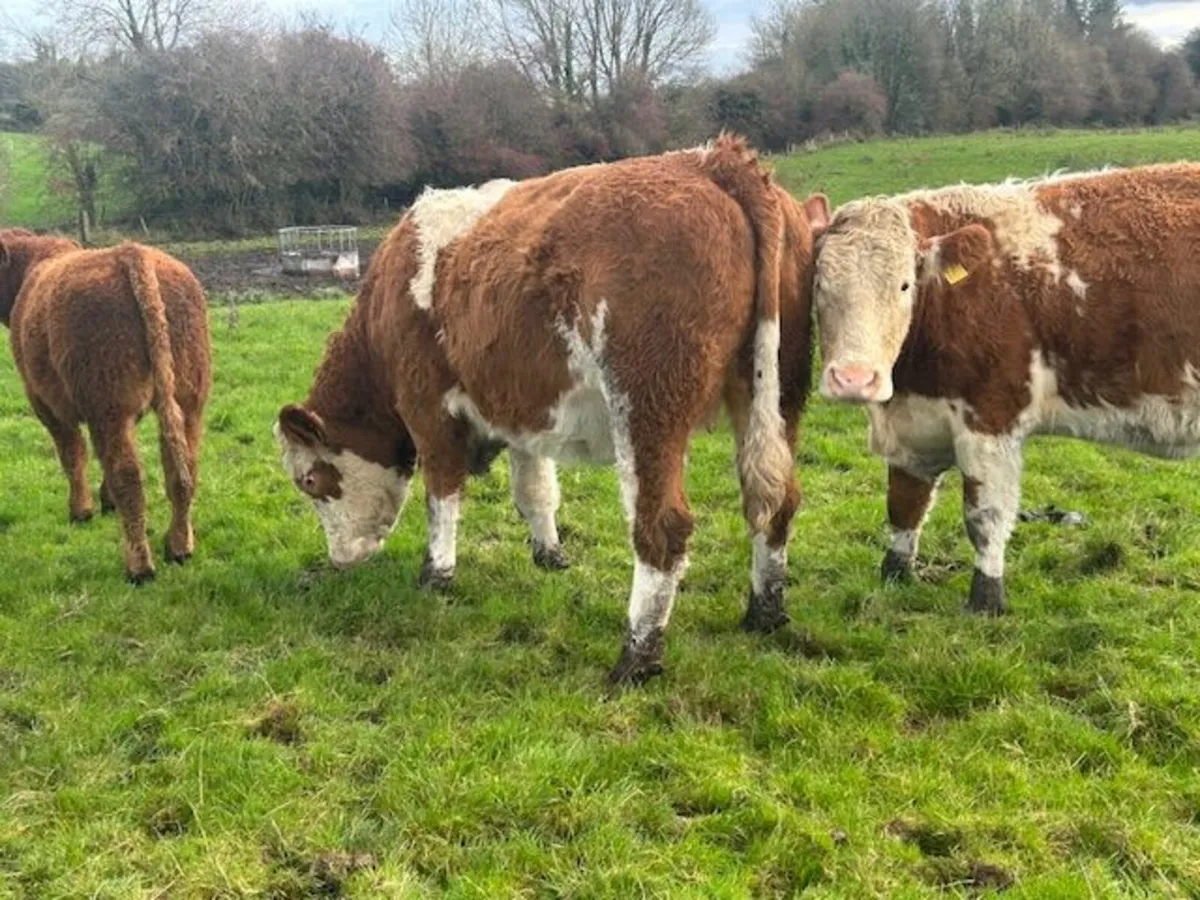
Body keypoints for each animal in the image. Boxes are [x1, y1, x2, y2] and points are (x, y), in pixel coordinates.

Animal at [0, 230, 212, 583]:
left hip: (109, 407)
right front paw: (105, 501)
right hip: (188, 401)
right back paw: (179, 546)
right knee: (182, 470)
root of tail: (131, 253)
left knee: (128, 478)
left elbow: (73, 456)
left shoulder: (47, 404)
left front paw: (81, 510)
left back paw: (139, 566)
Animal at [275, 135, 830, 685]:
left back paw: (637, 657)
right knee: (776, 501)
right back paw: (765, 612)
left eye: (310, 481)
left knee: (663, 527)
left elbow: (442, 497)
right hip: (777, 395)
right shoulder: (523, 412)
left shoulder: (427, 409)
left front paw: (437, 573)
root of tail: (713, 159)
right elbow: (535, 490)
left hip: (648, 407)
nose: (341, 558)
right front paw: (549, 553)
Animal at [808, 162, 1200, 614]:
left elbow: (985, 517)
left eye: (905, 285)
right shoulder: (915, 423)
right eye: (819, 284)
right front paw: (895, 574)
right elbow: (905, 505)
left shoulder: (991, 421)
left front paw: (986, 598)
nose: (853, 379)